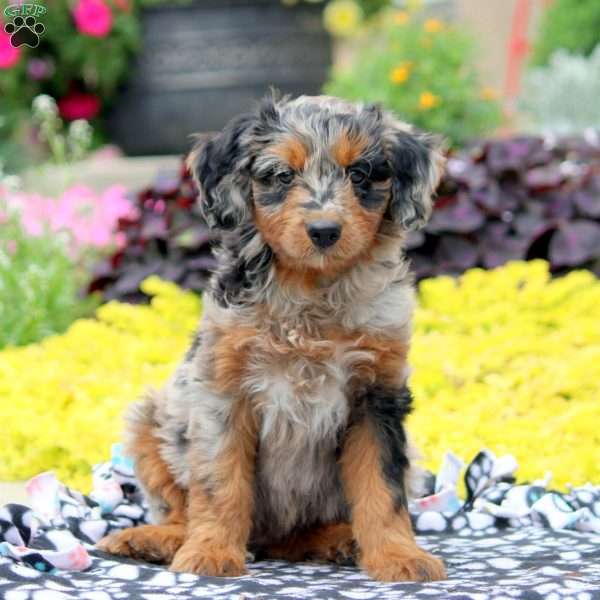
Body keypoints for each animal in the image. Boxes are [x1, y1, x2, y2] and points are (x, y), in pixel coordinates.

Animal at [97, 96, 446, 584]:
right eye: (282, 176)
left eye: (359, 174)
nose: (324, 231)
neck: (310, 292)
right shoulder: (223, 392)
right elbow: (220, 482)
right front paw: (210, 552)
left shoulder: (378, 397)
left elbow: (384, 488)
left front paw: (399, 556)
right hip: (151, 422)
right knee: (182, 509)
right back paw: (156, 539)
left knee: (296, 536)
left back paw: (338, 540)